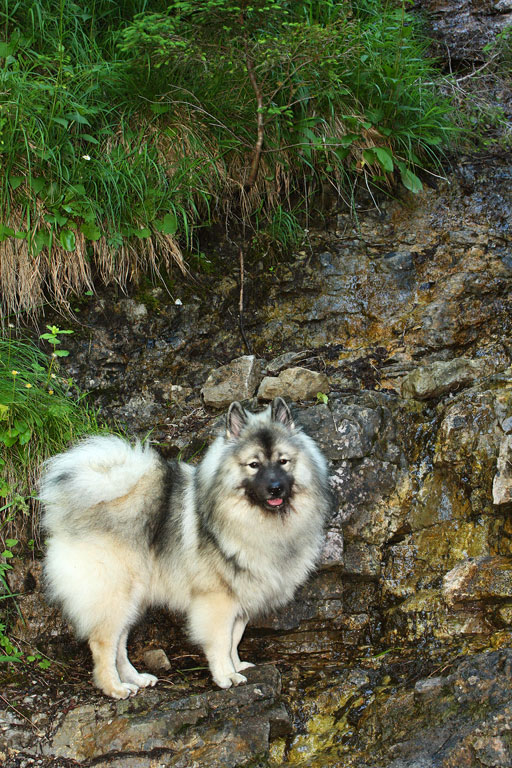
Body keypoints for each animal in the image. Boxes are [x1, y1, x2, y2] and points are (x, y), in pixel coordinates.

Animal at [38, 400, 330, 700]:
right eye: (254, 465)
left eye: (283, 461)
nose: (275, 488)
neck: (255, 520)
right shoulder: (217, 600)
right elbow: (220, 641)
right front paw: (226, 675)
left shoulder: (241, 597)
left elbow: (234, 638)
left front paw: (237, 665)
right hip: (115, 595)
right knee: (103, 642)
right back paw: (114, 687)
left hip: (133, 600)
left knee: (120, 643)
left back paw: (135, 679)